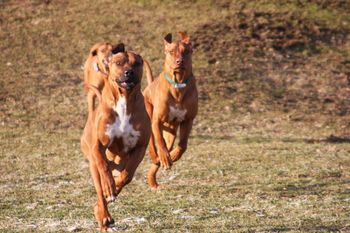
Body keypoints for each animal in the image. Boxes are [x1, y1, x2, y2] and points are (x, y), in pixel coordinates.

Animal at [80, 44, 150, 231]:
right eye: (118, 62)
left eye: (137, 63)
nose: (128, 72)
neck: (124, 101)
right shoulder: (98, 146)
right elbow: (104, 168)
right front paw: (109, 188)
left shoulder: (140, 147)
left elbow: (127, 175)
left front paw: (115, 187)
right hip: (92, 161)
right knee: (99, 187)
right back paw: (104, 215)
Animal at [142, 32, 197, 189]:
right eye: (171, 52)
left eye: (186, 51)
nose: (180, 61)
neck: (178, 84)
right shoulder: (156, 121)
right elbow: (159, 141)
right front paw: (165, 157)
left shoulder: (188, 120)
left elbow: (183, 144)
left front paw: (173, 156)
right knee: (152, 143)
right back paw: (157, 157)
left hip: (171, 131)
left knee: (166, 147)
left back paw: (153, 180)